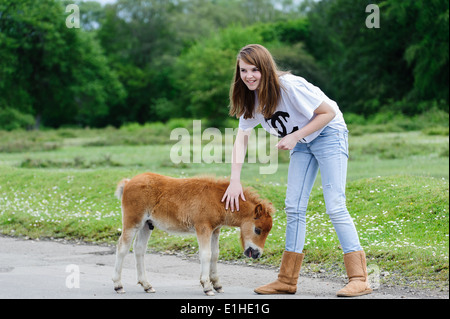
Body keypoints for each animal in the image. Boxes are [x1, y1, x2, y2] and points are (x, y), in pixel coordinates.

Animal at [112, 174, 274, 296]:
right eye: (257, 229)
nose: (257, 253)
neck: (217, 199)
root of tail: (128, 182)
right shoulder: (203, 227)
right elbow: (206, 254)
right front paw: (207, 287)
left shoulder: (215, 230)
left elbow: (215, 254)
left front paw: (217, 284)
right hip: (133, 222)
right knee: (122, 247)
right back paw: (118, 285)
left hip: (147, 225)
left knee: (139, 249)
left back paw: (146, 285)